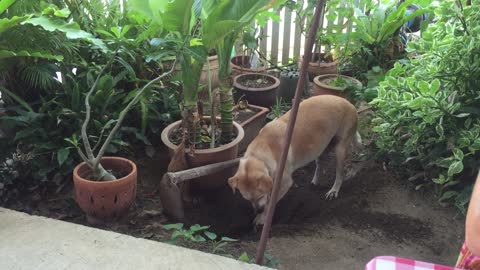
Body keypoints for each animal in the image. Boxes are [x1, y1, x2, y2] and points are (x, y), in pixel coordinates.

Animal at [229, 94, 360, 225]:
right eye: (247, 199)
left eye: (260, 195)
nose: (258, 210)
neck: (262, 151)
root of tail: (349, 103)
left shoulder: (284, 183)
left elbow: (270, 203)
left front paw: (262, 219)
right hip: (320, 147)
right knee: (319, 165)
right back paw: (315, 181)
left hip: (340, 150)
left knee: (340, 174)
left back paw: (334, 190)